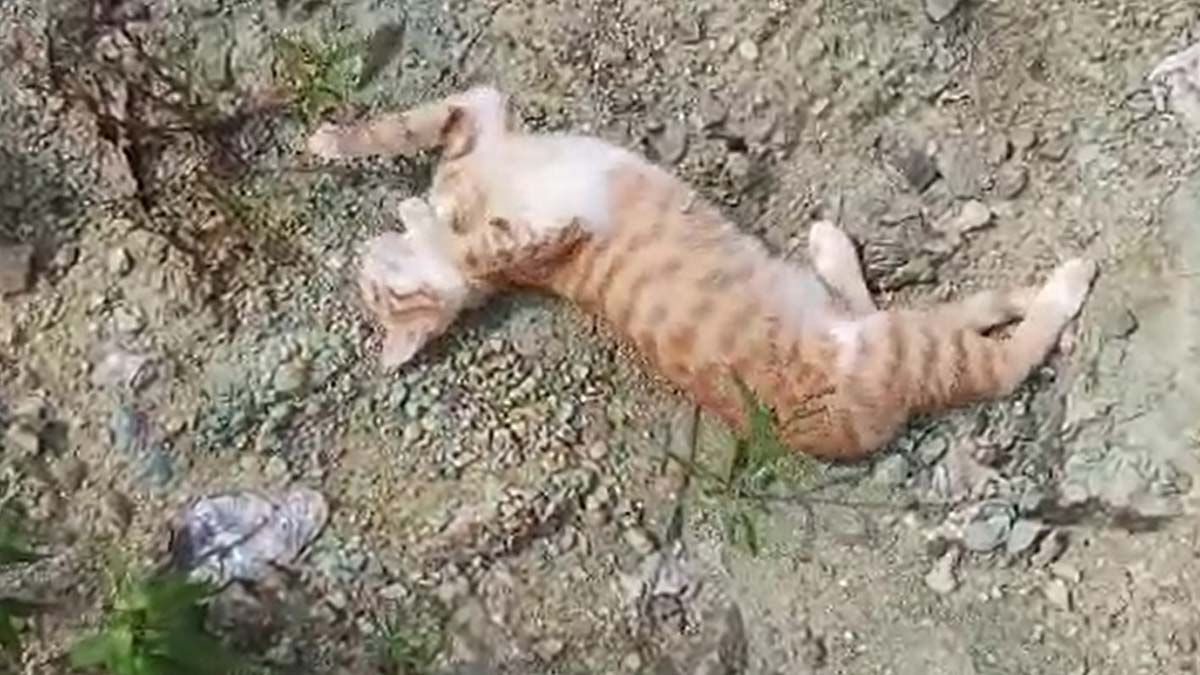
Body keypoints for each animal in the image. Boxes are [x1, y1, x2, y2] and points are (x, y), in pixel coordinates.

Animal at [305, 85, 1098, 461]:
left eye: (376, 293)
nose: (366, 269)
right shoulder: (511, 245)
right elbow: (490, 247)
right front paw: (436, 216)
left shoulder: (483, 120)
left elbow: (425, 122)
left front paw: (336, 144)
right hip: (894, 350)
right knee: (998, 360)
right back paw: (1063, 281)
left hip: (881, 334)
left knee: (934, 314)